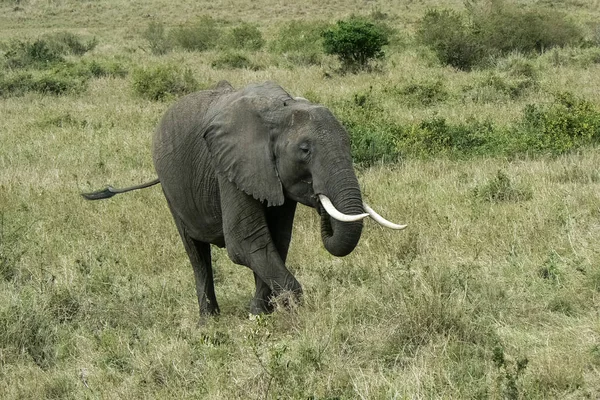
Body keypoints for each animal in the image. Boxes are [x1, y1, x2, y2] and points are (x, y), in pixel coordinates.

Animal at [82, 81, 406, 318]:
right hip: (170, 186)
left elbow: (276, 241)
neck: (279, 110)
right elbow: (246, 242)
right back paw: (208, 321)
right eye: (305, 150)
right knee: (195, 252)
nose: (320, 203)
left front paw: (260, 314)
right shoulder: (231, 167)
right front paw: (289, 313)